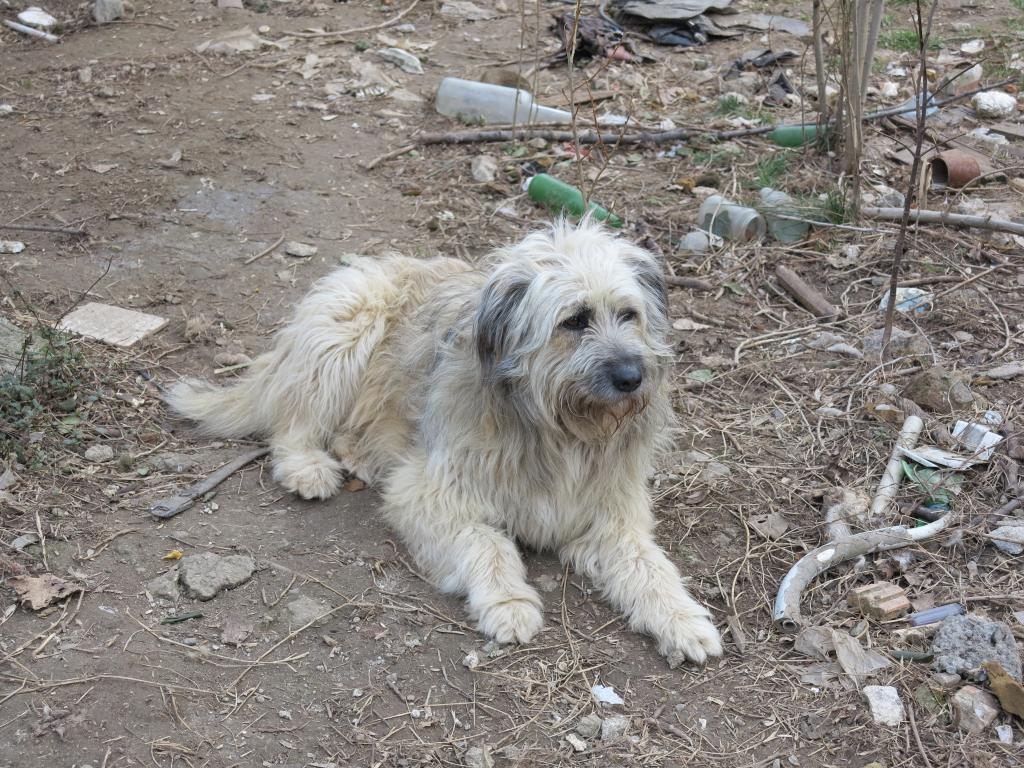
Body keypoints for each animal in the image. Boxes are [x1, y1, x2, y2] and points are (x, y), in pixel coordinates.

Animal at [167, 219, 724, 663]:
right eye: (575, 320)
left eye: (629, 314)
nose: (633, 377)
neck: (558, 428)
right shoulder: (427, 493)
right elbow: (486, 541)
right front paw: (508, 602)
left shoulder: (612, 512)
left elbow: (649, 565)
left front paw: (683, 619)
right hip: (346, 328)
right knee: (293, 422)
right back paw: (308, 465)